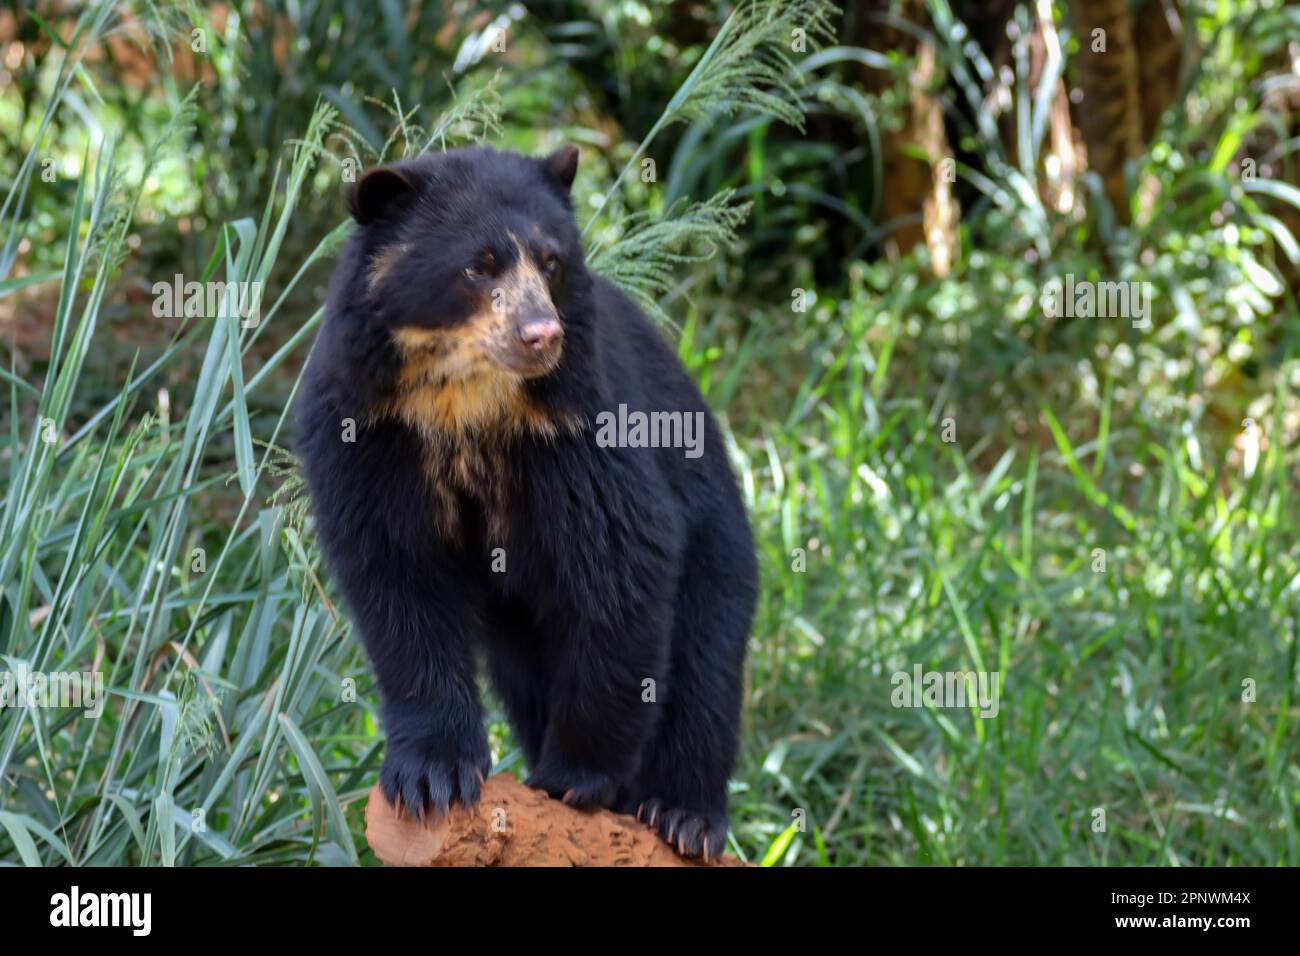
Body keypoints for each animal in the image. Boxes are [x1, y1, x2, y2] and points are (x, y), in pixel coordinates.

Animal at [296, 145, 757, 859]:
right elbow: (398, 579)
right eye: (477, 266)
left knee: (705, 668)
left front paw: (574, 776)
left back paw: (682, 815)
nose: (541, 334)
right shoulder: (366, 429)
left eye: (550, 261)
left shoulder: (574, 424)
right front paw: (430, 779)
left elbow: (624, 560)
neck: (464, 393)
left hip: (721, 545)